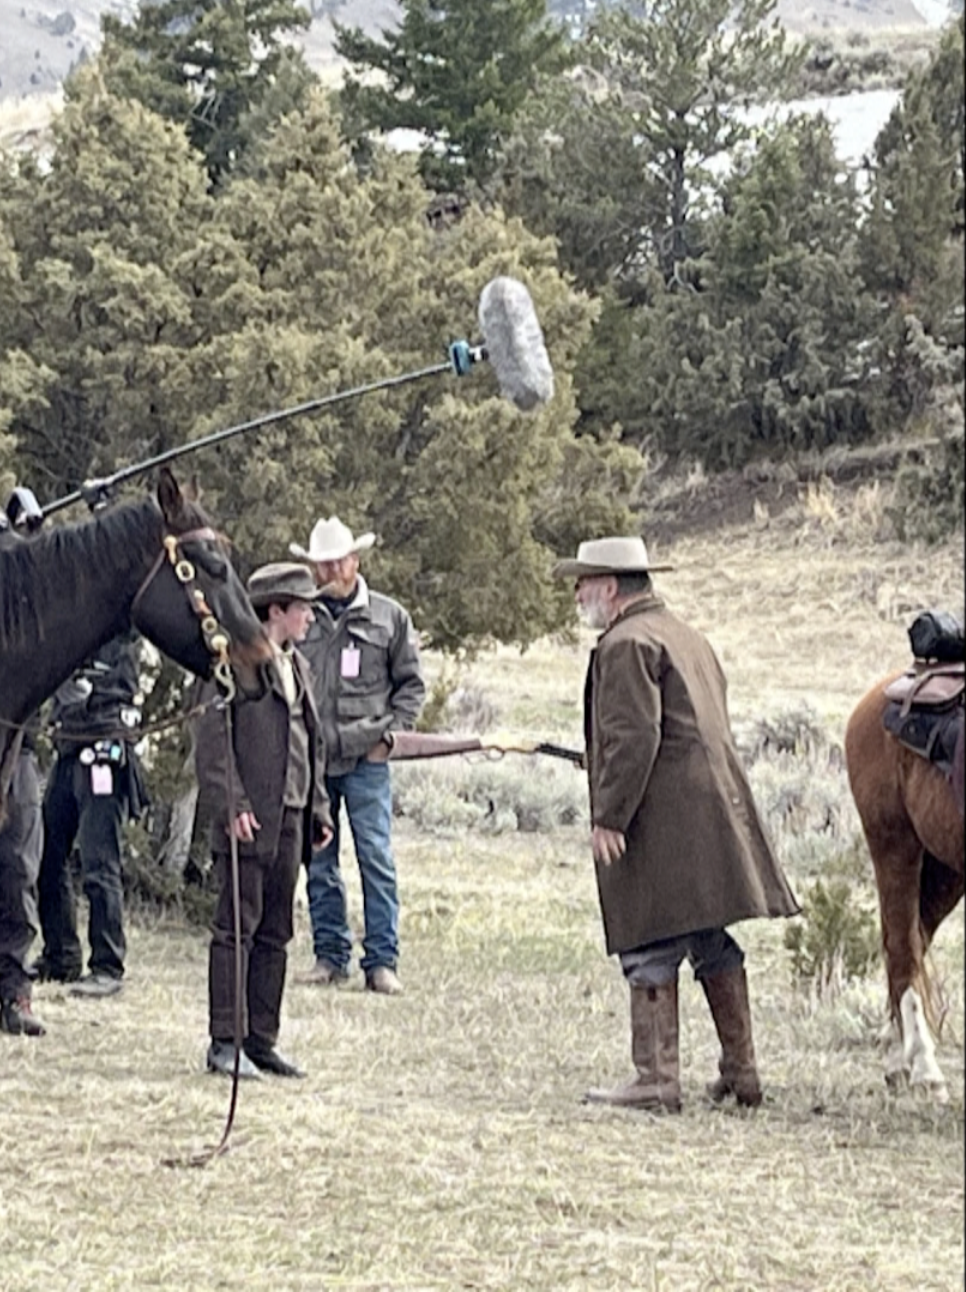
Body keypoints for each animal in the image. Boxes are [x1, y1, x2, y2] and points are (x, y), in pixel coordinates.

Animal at [847, 677, 966, 1100]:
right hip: (895, 846)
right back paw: (924, 1068)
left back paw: (898, 1057)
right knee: (903, 949)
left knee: (916, 939)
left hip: (946, 871)